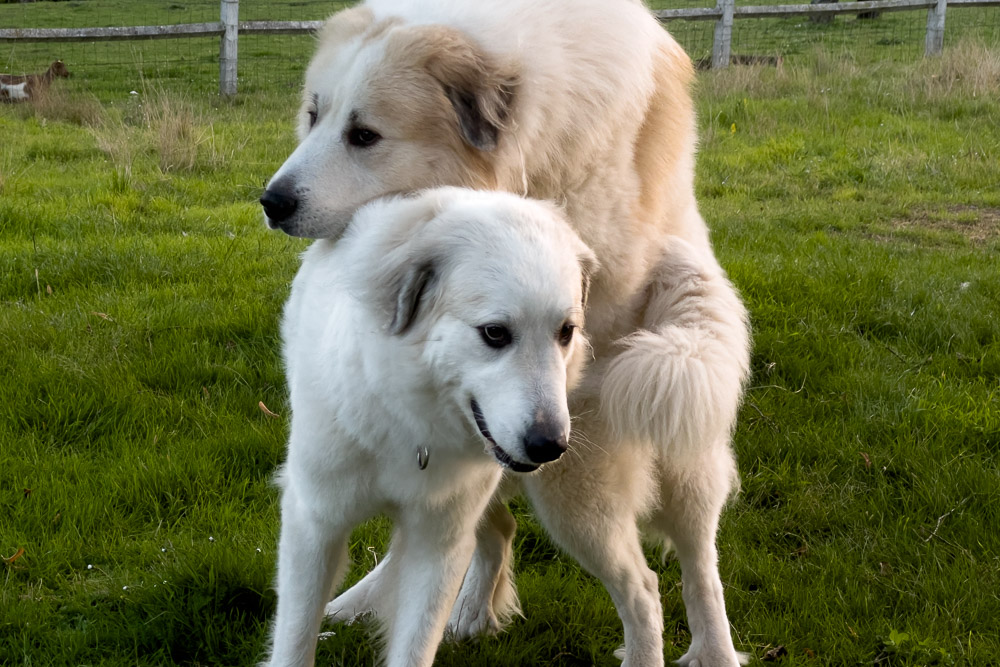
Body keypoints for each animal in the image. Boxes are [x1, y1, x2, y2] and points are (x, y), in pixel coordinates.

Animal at [266, 187, 596, 667]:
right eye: (494, 333)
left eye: (565, 332)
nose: (550, 445)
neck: (408, 422)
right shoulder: (315, 524)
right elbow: (294, 640)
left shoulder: (439, 544)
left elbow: (415, 644)